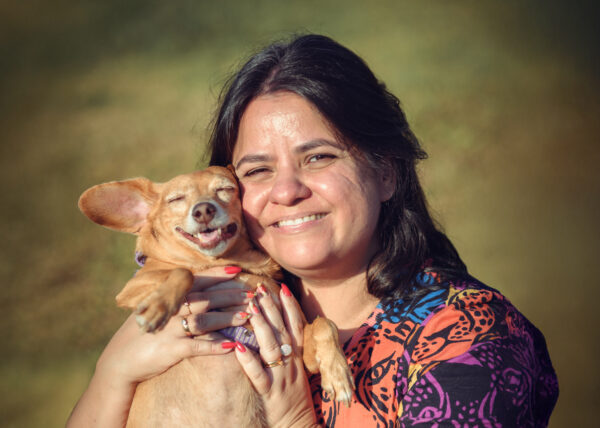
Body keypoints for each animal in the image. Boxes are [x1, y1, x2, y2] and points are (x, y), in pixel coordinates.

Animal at [78, 166, 354, 427]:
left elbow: (325, 324)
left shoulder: (303, 355)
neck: (232, 265)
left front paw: (338, 373)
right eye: (176, 199)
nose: (203, 210)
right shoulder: (132, 290)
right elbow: (183, 273)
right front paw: (158, 306)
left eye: (225, 189)